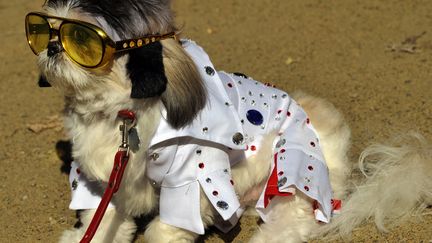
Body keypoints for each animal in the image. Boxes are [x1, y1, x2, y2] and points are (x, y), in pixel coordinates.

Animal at [26, 0, 432, 243]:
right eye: (43, 31)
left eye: (82, 40)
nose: (53, 47)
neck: (122, 116)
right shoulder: (105, 179)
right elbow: (100, 217)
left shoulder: (192, 181)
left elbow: (166, 229)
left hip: (291, 171)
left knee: (294, 220)